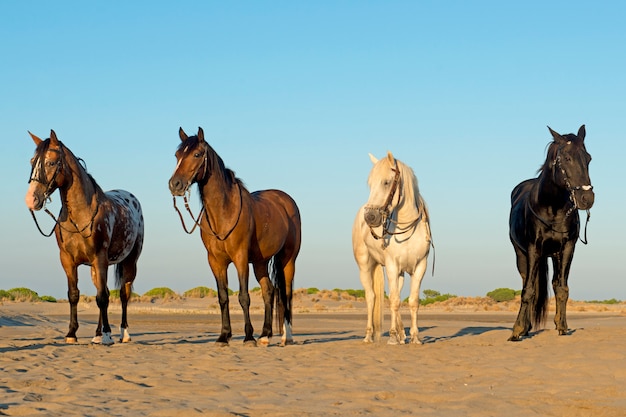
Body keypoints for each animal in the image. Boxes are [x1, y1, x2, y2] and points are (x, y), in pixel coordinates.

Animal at [24, 130, 144, 344]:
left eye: (51, 162)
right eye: (32, 161)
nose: (31, 199)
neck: (80, 216)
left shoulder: (100, 258)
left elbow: (103, 298)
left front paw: (107, 335)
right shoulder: (68, 260)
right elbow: (75, 295)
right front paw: (72, 334)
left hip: (130, 262)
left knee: (123, 294)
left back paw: (123, 333)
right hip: (97, 269)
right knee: (104, 291)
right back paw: (96, 334)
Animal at [168, 126, 300, 344]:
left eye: (197, 154)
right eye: (177, 155)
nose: (175, 184)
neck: (224, 212)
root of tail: (286, 200)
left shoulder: (240, 258)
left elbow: (244, 296)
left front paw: (248, 336)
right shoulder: (216, 262)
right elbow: (223, 297)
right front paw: (224, 335)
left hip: (288, 259)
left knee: (286, 293)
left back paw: (286, 336)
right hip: (260, 262)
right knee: (269, 291)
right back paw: (265, 335)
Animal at [348, 151, 432, 342]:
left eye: (386, 182)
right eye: (370, 183)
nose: (370, 217)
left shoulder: (419, 267)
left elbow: (412, 301)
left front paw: (415, 337)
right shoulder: (392, 266)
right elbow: (393, 301)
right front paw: (393, 337)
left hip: (399, 273)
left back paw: (402, 334)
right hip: (365, 266)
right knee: (371, 297)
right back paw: (369, 335)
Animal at [504, 125, 592, 340]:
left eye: (588, 158)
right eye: (567, 158)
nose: (587, 198)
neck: (552, 208)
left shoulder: (567, 249)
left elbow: (561, 288)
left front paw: (562, 327)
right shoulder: (533, 249)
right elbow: (528, 290)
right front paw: (517, 330)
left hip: (552, 255)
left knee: (552, 283)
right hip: (522, 254)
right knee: (527, 282)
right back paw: (524, 327)